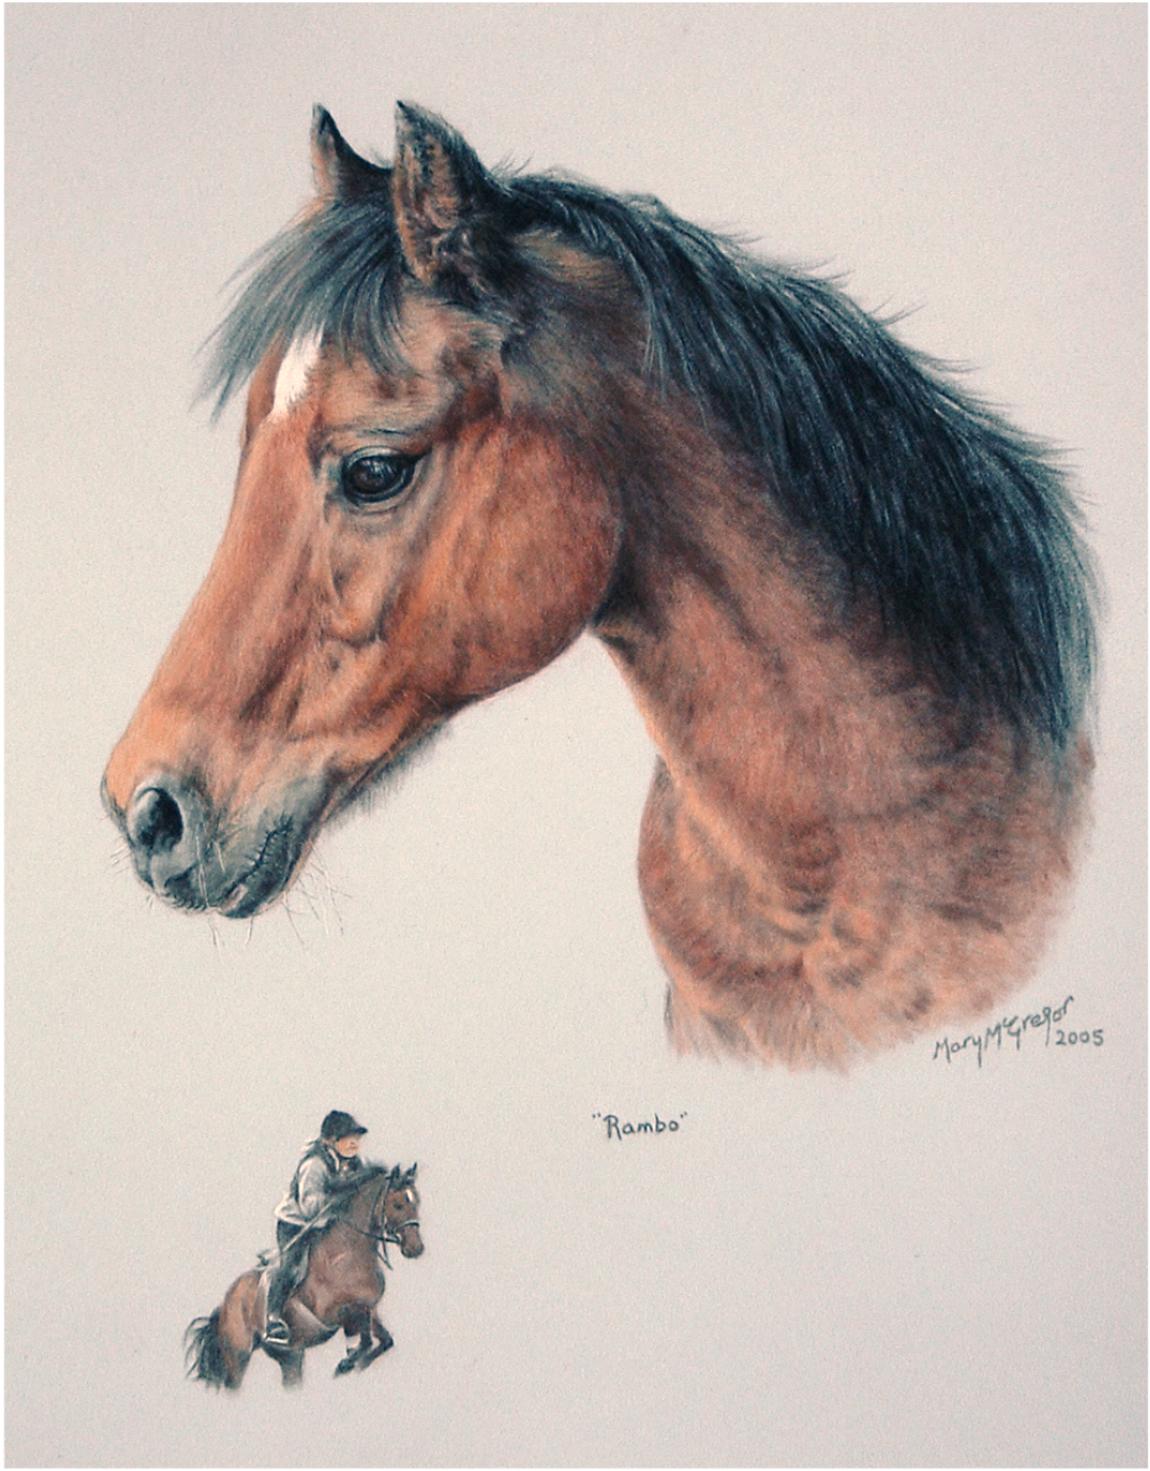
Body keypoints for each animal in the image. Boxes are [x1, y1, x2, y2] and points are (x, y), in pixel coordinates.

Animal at [185, 1164, 422, 1390]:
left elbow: (384, 1341)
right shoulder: (338, 1312)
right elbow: (363, 1342)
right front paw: (346, 1364)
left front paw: (352, 1364)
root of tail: (225, 1302)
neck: (348, 1253)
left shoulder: (370, 1310)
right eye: (398, 1204)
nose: (416, 1248)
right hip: (237, 1355)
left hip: (290, 1356)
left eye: (417, 1202)